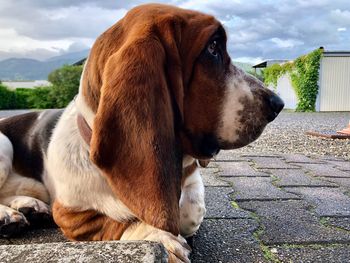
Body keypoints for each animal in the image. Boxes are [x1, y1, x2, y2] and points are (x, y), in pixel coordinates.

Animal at [0, 3, 282, 262]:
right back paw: (9, 215)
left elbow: (189, 212)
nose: (277, 104)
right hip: (4, 144)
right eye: (213, 48)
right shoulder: (70, 214)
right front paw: (161, 238)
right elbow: (116, 222)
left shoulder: (192, 181)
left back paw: (28, 206)